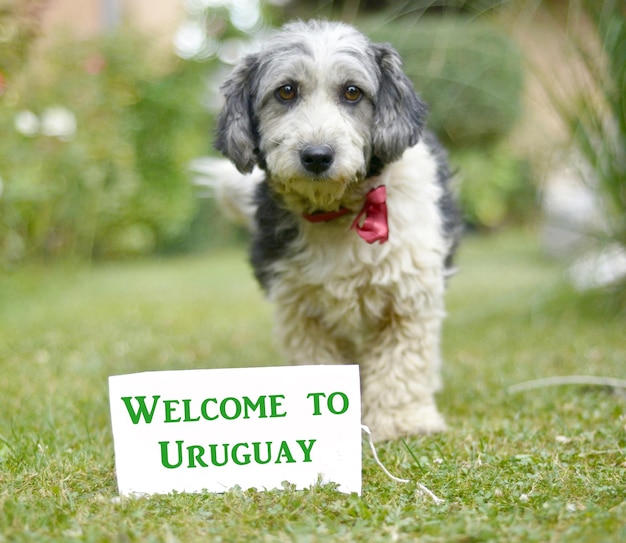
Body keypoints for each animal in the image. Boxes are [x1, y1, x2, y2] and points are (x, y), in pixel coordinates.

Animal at [202, 20, 460, 442]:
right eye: (286, 91)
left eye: (352, 92)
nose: (317, 156)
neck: (338, 211)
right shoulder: (299, 308)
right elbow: (320, 364)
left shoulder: (408, 298)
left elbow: (402, 363)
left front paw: (401, 420)